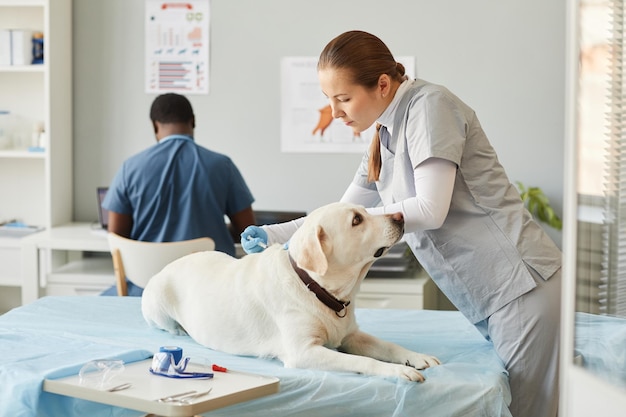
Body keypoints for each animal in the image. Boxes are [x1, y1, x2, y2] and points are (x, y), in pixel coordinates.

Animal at [141, 201, 438, 380]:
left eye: (365, 211)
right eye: (356, 220)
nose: (400, 216)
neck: (315, 288)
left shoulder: (351, 336)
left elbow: (388, 346)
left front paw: (415, 357)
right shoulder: (304, 351)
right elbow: (362, 362)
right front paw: (397, 371)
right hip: (157, 305)